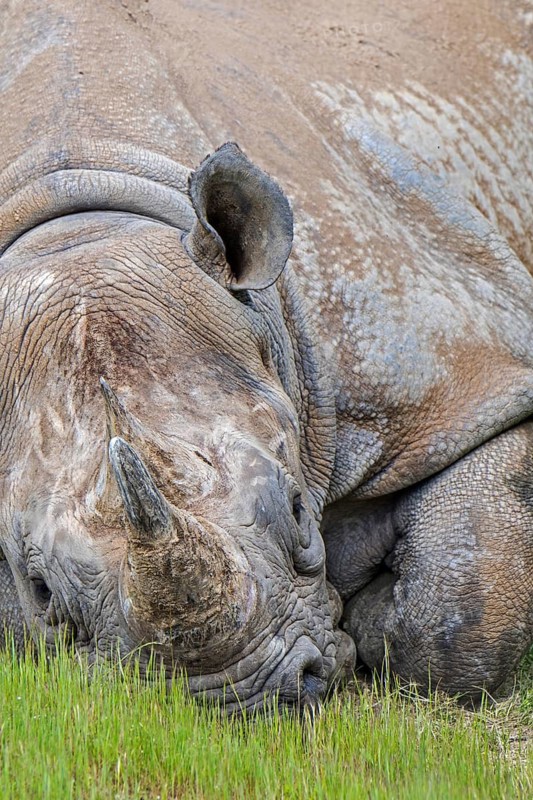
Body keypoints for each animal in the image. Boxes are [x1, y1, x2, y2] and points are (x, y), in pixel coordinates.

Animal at [0, 0, 532, 709]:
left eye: (301, 509)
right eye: (40, 592)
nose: (251, 696)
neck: (80, 225)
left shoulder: (467, 374)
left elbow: (458, 613)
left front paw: (371, 617)